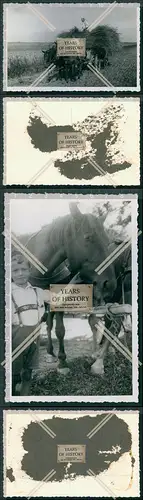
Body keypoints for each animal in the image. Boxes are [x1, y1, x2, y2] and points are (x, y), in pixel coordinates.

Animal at [11, 203, 132, 382]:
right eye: (88, 237)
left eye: (107, 241)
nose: (109, 284)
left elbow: (61, 329)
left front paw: (63, 363)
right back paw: (50, 353)